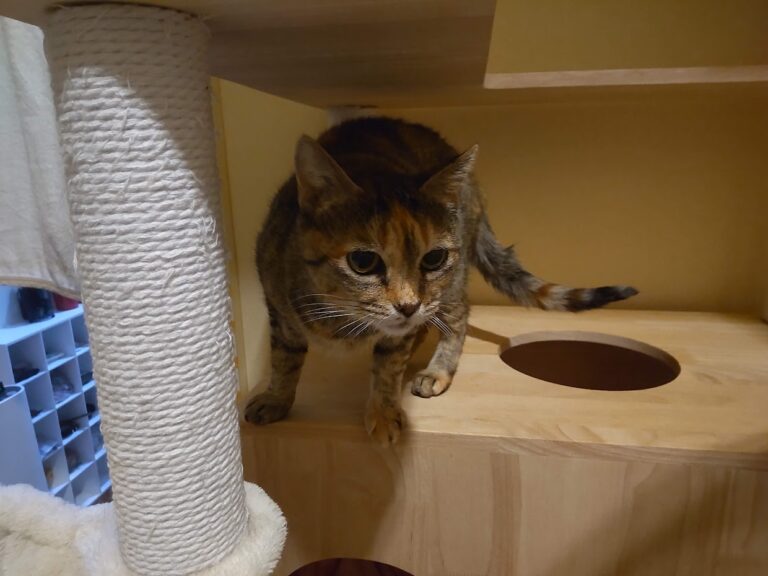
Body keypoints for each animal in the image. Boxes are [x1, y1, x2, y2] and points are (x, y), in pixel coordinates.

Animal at [245, 117, 637, 445]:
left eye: (433, 258)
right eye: (363, 261)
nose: (407, 306)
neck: (343, 319)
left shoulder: (407, 324)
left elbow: (387, 368)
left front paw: (384, 413)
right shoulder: (278, 308)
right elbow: (284, 360)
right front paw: (276, 398)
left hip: (448, 288)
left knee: (458, 314)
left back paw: (436, 369)